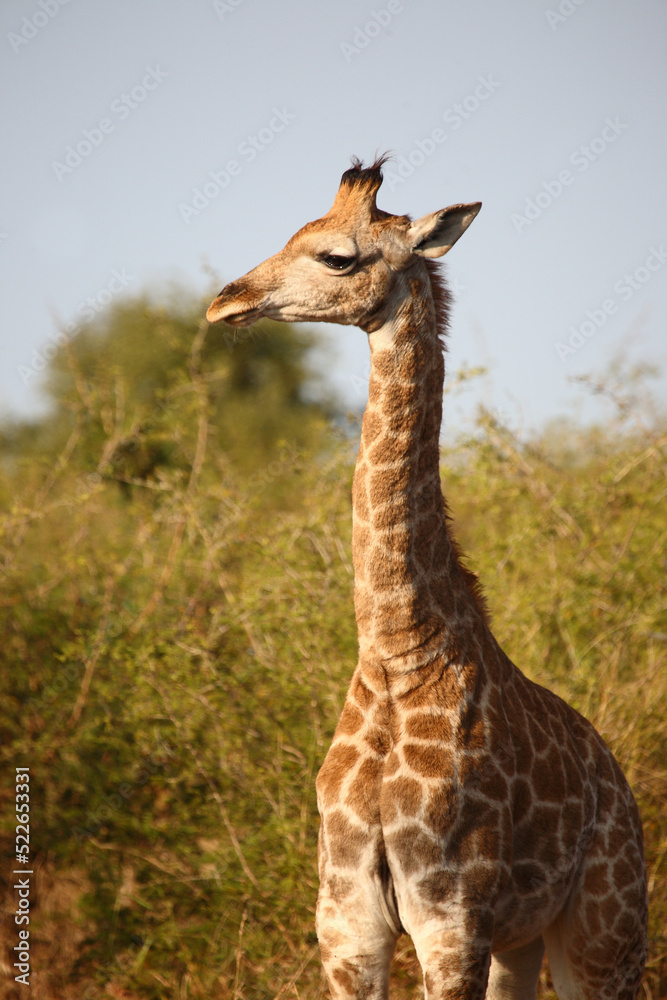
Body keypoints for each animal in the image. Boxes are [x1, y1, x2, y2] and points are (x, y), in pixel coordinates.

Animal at [206, 157, 648, 1000]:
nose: (226, 301)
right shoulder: (347, 922)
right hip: (523, 938)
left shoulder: (449, 919)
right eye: (292, 232)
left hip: (604, 930)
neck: (396, 651)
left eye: (336, 257)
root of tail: (618, 780)